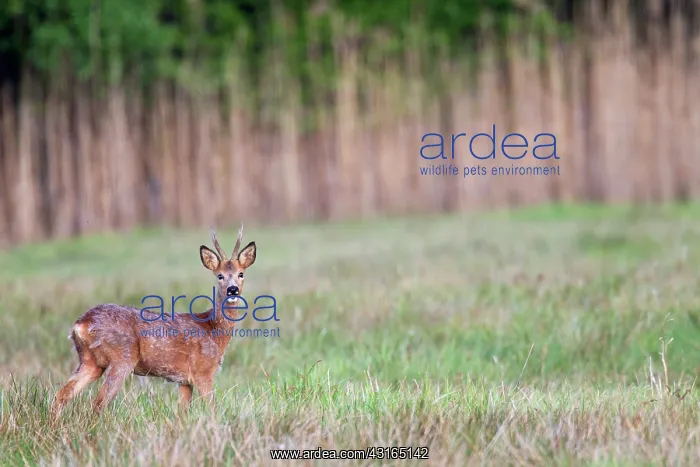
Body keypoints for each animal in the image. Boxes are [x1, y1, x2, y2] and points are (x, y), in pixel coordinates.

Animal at [51, 226, 257, 417]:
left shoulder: (184, 380)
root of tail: (80, 325)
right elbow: (213, 408)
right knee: (98, 403)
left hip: (90, 362)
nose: (232, 289)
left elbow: (182, 413)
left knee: (61, 395)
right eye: (220, 275)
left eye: (241, 273)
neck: (213, 330)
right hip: (121, 358)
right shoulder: (203, 370)